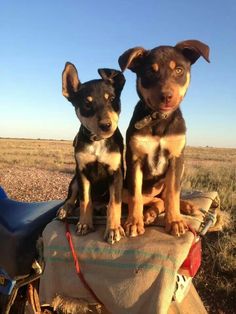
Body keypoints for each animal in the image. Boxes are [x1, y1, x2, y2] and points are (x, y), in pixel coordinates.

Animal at [57, 62, 125, 244]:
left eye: (112, 99)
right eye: (87, 104)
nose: (106, 125)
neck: (97, 141)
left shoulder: (116, 174)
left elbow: (114, 204)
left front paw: (113, 229)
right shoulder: (82, 172)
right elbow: (84, 200)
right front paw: (85, 224)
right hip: (74, 179)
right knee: (72, 198)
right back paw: (65, 209)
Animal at [119, 40, 209, 238]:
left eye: (179, 70)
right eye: (149, 72)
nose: (166, 96)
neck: (159, 119)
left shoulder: (176, 159)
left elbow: (173, 195)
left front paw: (174, 220)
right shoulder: (134, 160)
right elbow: (136, 196)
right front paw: (134, 222)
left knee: (166, 196)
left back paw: (185, 206)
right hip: (124, 187)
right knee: (150, 199)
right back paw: (149, 213)